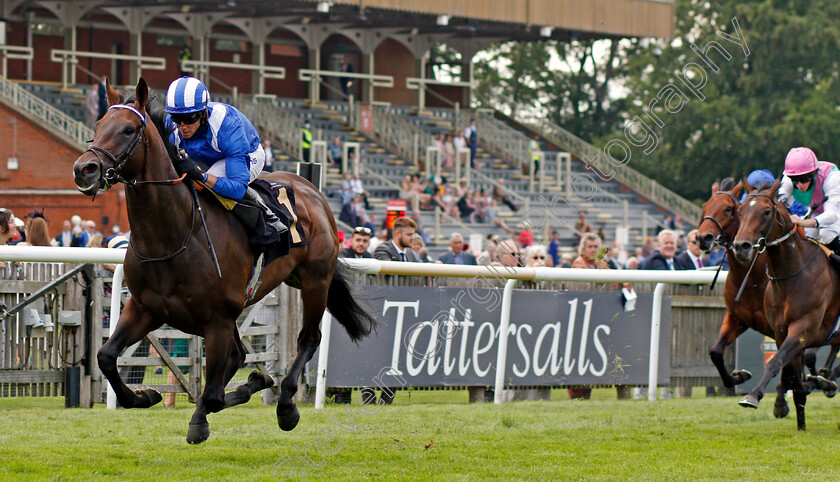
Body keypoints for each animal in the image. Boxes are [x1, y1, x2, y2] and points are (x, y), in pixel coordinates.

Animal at [74, 79, 376, 444]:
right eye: (98, 126)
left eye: (128, 129)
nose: (84, 169)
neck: (175, 234)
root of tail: (311, 188)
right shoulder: (145, 308)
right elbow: (106, 357)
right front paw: (145, 396)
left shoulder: (217, 320)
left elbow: (215, 395)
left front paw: (201, 419)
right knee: (241, 355)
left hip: (315, 280)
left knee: (308, 339)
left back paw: (286, 405)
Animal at [728, 180, 840, 430]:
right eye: (740, 211)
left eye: (766, 211)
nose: (741, 246)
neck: (791, 273)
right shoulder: (781, 331)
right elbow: (792, 375)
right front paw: (799, 415)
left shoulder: (803, 327)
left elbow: (775, 363)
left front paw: (753, 396)